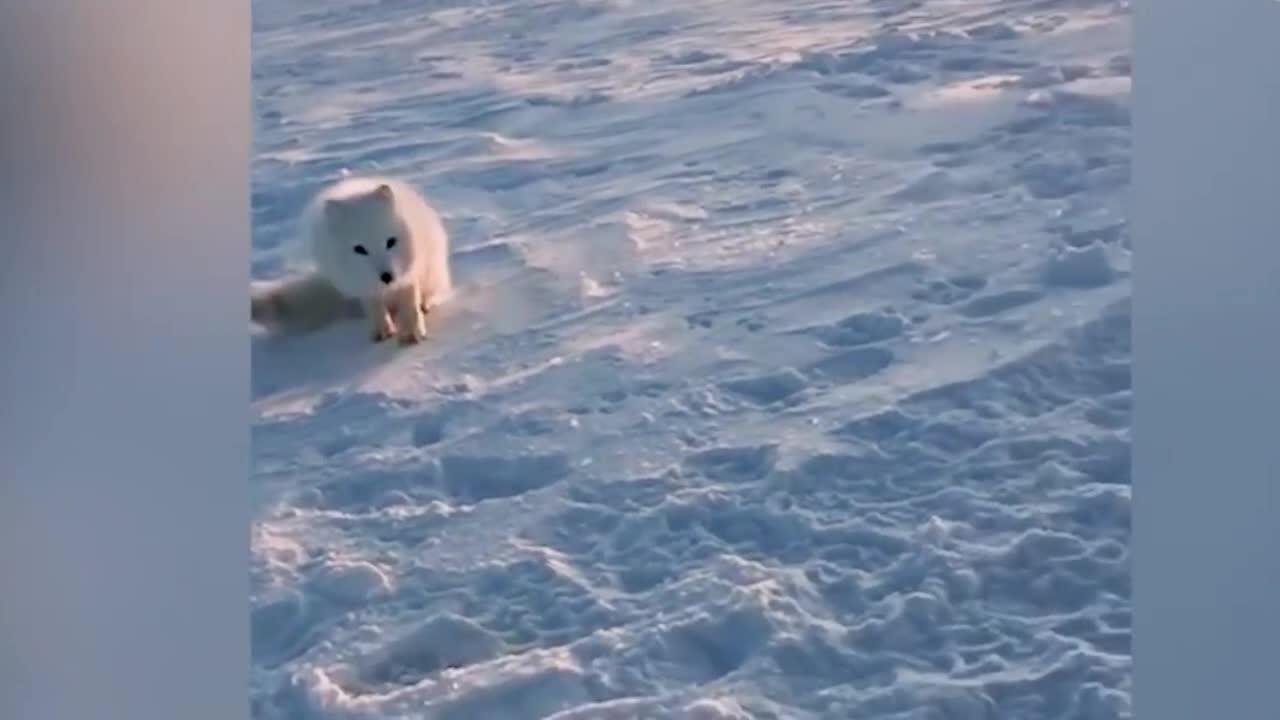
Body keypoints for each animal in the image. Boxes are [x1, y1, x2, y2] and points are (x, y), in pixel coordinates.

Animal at [248, 172, 450, 340]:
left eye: (391, 242)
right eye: (360, 249)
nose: (387, 276)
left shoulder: (409, 273)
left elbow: (410, 303)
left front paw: (412, 332)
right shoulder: (360, 284)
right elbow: (373, 306)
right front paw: (382, 331)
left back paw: (424, 305)